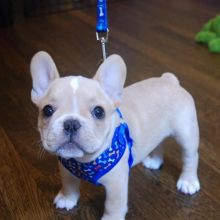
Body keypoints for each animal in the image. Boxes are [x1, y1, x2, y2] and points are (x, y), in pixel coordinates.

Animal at [30, 51, 200, 220]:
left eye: (99, 111)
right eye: (47, 110)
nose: (71, 123)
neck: (83, 161)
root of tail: (169, 80)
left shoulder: (116, 183)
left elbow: (113, 205)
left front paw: (111, 218)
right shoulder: (66, 168)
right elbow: (69, 184)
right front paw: (67, 198)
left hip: (186, 133)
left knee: (191, 156)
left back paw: (188, 181)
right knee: (160, 142)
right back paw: (155, 161)